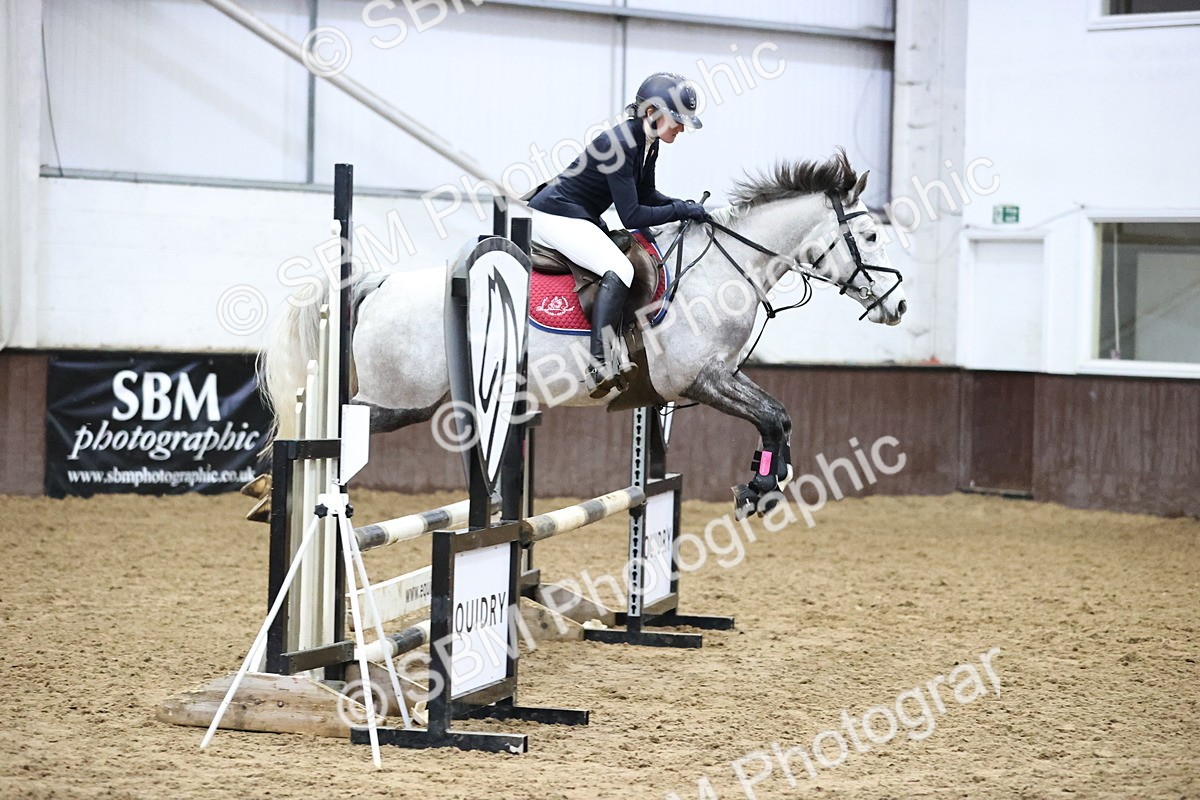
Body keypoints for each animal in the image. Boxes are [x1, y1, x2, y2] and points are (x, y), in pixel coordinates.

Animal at [260, 150, 907, 518]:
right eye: (872, 236)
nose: (898, 306)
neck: (728, 267)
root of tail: (380, 281)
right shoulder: (698, 378)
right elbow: (773, 415)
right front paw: (760, 487)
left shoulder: (716, 375)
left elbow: (780, 416)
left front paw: (764, 483)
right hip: (401, 398)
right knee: (328, 427)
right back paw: (272, 490)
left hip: (421, 400)